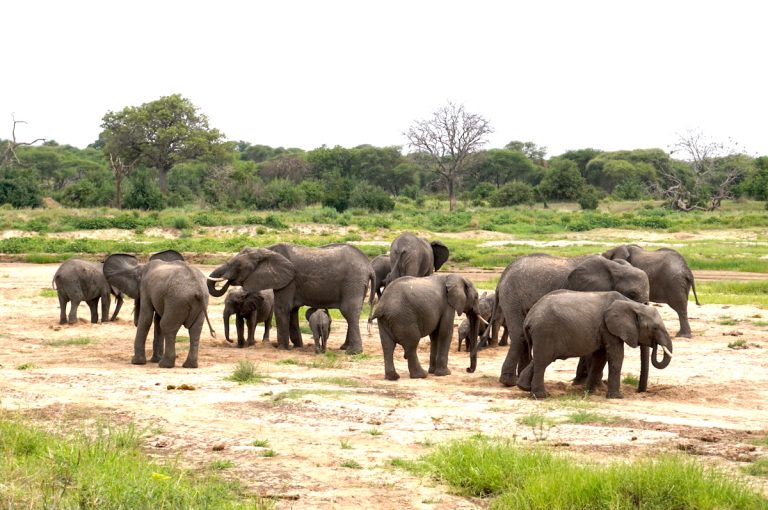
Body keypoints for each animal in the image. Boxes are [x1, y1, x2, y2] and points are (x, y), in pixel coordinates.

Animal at [204, 243, 372, 354]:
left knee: (349, 312)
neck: (267, 251)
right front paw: (297, 347)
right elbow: (292, 311)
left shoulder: (288, 280)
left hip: (353, 282)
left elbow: (282, 308)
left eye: (237, 266)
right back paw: (344, 348)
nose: (228, 281)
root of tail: (368, 266)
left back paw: (353, 352)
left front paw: (282, 348)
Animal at [474, 253, 648, 388]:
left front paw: (583, 383)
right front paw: (588, 384)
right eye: (632, 294)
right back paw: (509, 382)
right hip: (512, 297)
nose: (640, 390)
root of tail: (503, 275)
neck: (615, 267)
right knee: (519, 336)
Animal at [516, 290, 672, 398]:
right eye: (655, 328)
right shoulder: (609, 328)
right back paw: (541, 396)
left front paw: (589, 393)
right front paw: (617, 397)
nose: (639, 392)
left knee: (540, 359)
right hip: (545, 331)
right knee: (542, 361)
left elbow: (601, 357)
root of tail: (529, 318)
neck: (632, 304)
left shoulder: (604, 329)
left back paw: (524, 387)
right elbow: (616, 356)